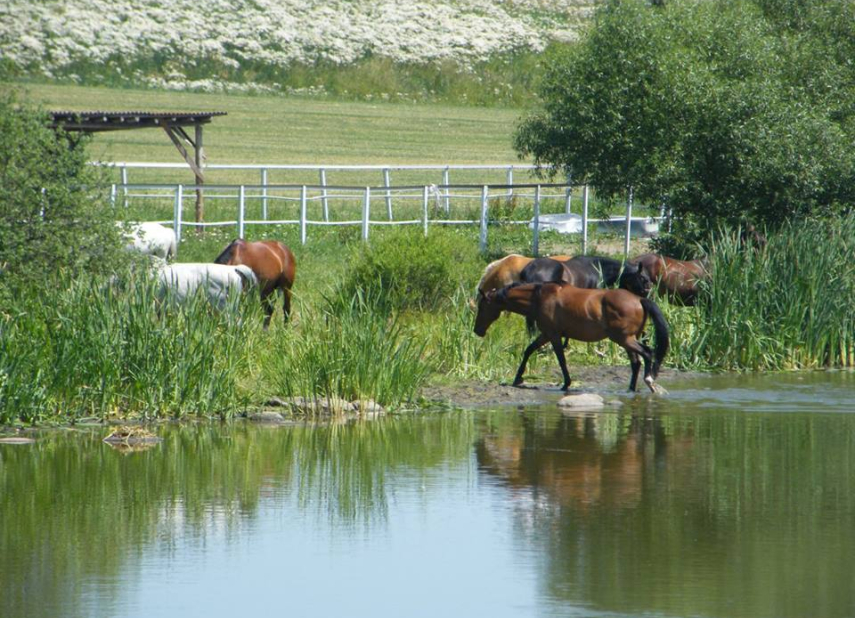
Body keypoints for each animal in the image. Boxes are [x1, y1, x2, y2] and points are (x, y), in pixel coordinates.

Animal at [474, 282, 668, 392]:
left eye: (482, 307)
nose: (477, 331)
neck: (539, 297)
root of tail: (639, 299)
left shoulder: (553, 335)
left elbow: (561, 359)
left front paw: (566, 383)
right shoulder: (546, 334)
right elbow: (529, 350)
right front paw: (518, 378)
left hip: (624, 339)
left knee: (647, 354)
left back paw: (649, 380)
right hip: (627, 340)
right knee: (636, 362)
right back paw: (631, 389)